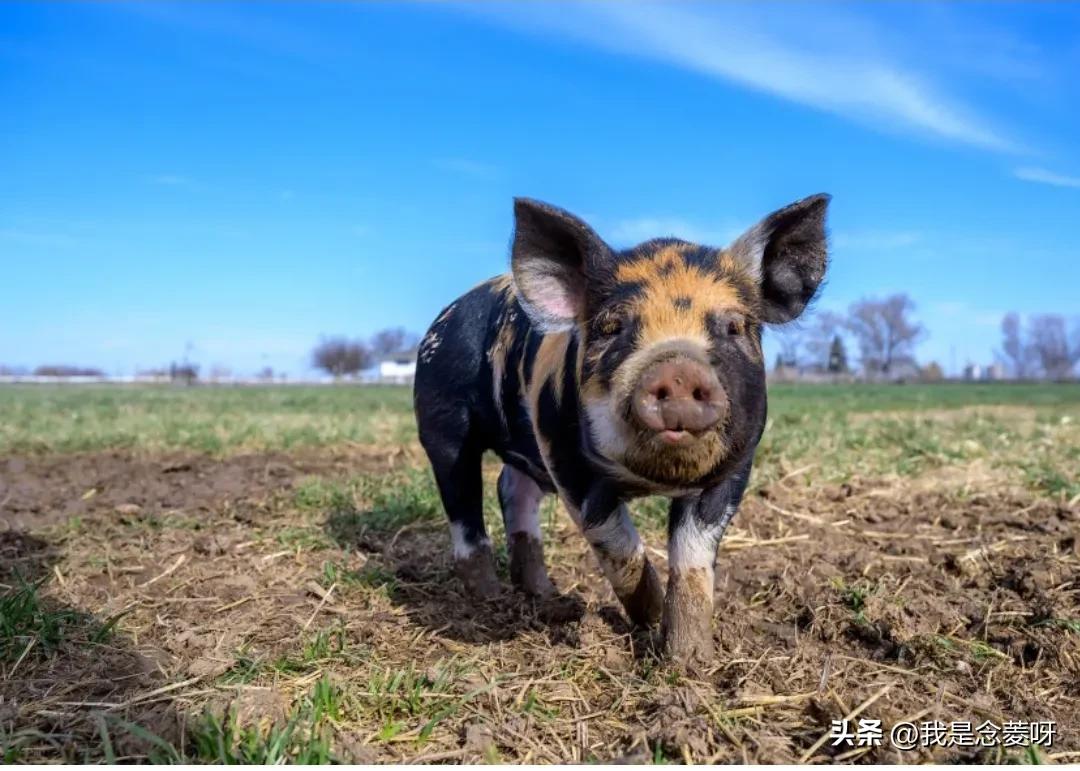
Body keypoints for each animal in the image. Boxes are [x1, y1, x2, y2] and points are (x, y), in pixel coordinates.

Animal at [410, 193, 825, 660]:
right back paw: (488, 597)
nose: (678, 369)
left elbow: (693, 561)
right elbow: (618, 546)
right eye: (613, 327)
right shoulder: (566, 461)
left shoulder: (736, 469)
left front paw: (689, 659)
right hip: (442, 421)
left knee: (512, 489)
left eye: (735, 326)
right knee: (464, 504)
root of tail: (449, 311)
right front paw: (649, 614)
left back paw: (545, 596)